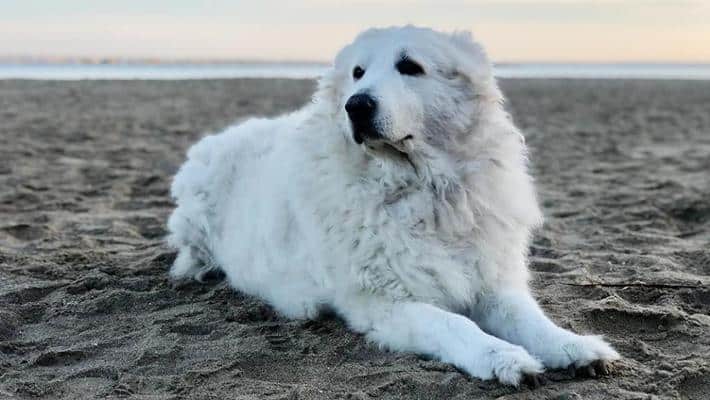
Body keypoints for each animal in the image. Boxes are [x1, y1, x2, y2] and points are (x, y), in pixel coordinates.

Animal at [165, 26, 616, 386]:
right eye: (357, 73)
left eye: (410, 66)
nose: (357, 105)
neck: (424, 188)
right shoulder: (386, 303)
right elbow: (454, 323)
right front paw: (501, 357)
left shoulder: (491, 280)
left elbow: (531, 319)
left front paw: (574, 347)